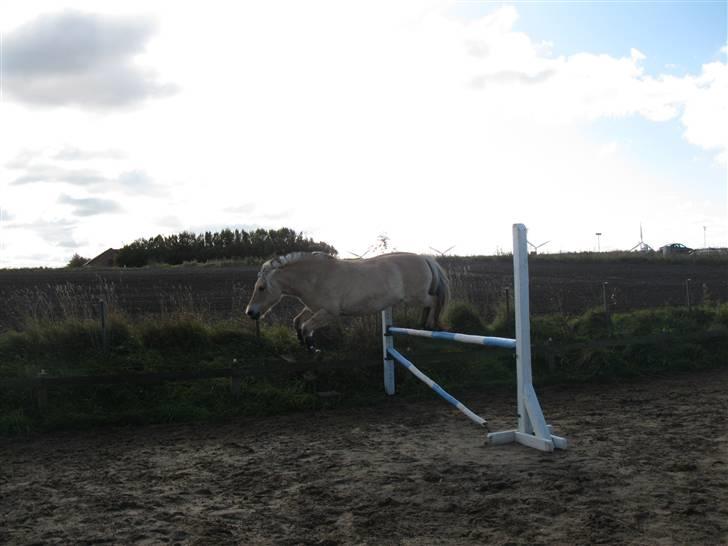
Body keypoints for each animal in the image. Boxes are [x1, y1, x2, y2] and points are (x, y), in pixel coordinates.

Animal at [246, 251, 450, 348]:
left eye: (261, 288)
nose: (250, 312)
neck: (316, 276)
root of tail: (424, 258)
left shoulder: (330, 313)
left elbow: (306, 326)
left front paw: (312, 348)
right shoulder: (315, 308)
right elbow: (298, 321)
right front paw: (302, 341)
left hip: (418, 297)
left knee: (434, 303)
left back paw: (429, 325)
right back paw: (423, 324)